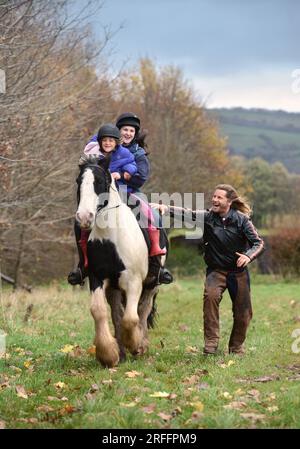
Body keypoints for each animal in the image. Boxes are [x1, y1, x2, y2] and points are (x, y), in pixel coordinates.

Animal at [74, 156, 168, 366]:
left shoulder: (134, 281)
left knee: (143, 309)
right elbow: (99, 311)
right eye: (78, 182)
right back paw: (122, 351)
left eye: (100, 181)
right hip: (114, 288)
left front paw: (135, 344)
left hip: (152, 284)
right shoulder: (97, 277)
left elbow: (131, 318)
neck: (110, 237)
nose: (84, 217)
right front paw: (108, 354)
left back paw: (141, 345)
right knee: (117, 314)